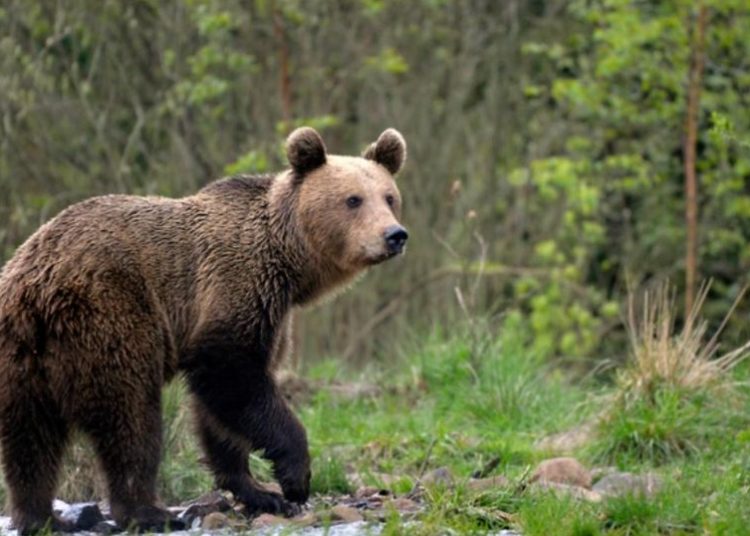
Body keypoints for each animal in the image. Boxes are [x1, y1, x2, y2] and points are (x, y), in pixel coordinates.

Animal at [0, 125, 408, 532]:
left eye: (389, 197)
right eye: (353, 199)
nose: (395, 235)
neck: (288, 263)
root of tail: (36, 288)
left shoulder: (273, 315)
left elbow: (220, 411)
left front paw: (259, 492)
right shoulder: (237, 288)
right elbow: (231, 376)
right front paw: (294, 479)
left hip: (21, 358)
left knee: (30, 440)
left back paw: (41, 517)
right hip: (110, 316)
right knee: (131, 416)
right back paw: (149, 511)